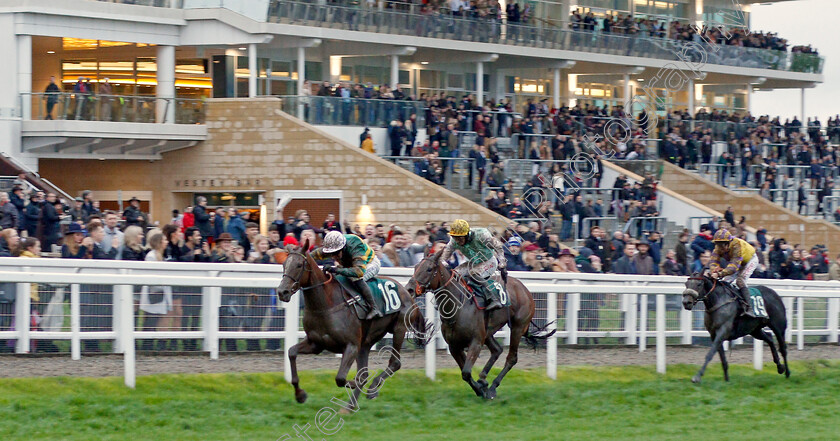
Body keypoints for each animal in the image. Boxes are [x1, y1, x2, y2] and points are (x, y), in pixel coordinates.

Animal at [278, 239, 430, 408]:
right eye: (284, 264)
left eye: (299, 265)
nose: (282, 292)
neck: (325, 305)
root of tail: (407, 293)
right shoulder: (316, 343)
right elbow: (291, 352)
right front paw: (300, 394)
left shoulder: (351, 345)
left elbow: (341, 378)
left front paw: (353, 384)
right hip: (366, 342)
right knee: (365, 372)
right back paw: (351, 406)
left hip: (398, 329)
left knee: (394, 363)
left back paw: (371, 390)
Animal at [412, 248, 540, 398]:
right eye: (415, 267)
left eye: (429, 269)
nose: (409, 288)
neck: (458, 306)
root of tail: (525, 289)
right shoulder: (454, 346)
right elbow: (465, 372)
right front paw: (481, 386)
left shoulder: (476, 342)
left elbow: (466, 372)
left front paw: (482, 389)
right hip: (488, 331)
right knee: (497, 350)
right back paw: (483, 378)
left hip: (517, 327)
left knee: (511, 358)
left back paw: (493, 387)